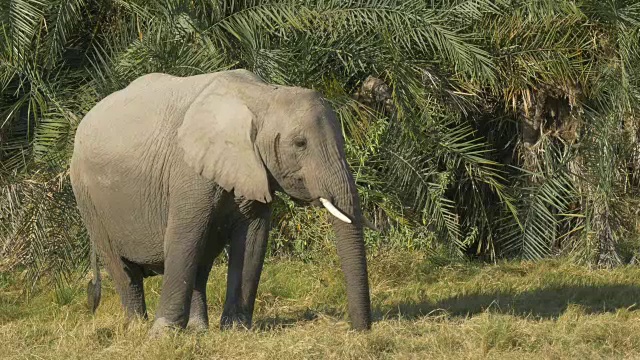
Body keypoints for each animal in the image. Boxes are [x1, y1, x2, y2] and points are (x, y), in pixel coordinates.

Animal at [68, 69, 372, 334]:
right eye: (300, 143)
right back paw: (137, 329)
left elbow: (252, 240)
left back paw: (198, 329)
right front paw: (162, 335)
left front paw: (236, 330)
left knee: (200, 260)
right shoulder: (188, 172)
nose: (360, 329)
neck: (262, 96)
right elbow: (182, 239)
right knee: (123, 269)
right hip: (87, 198)